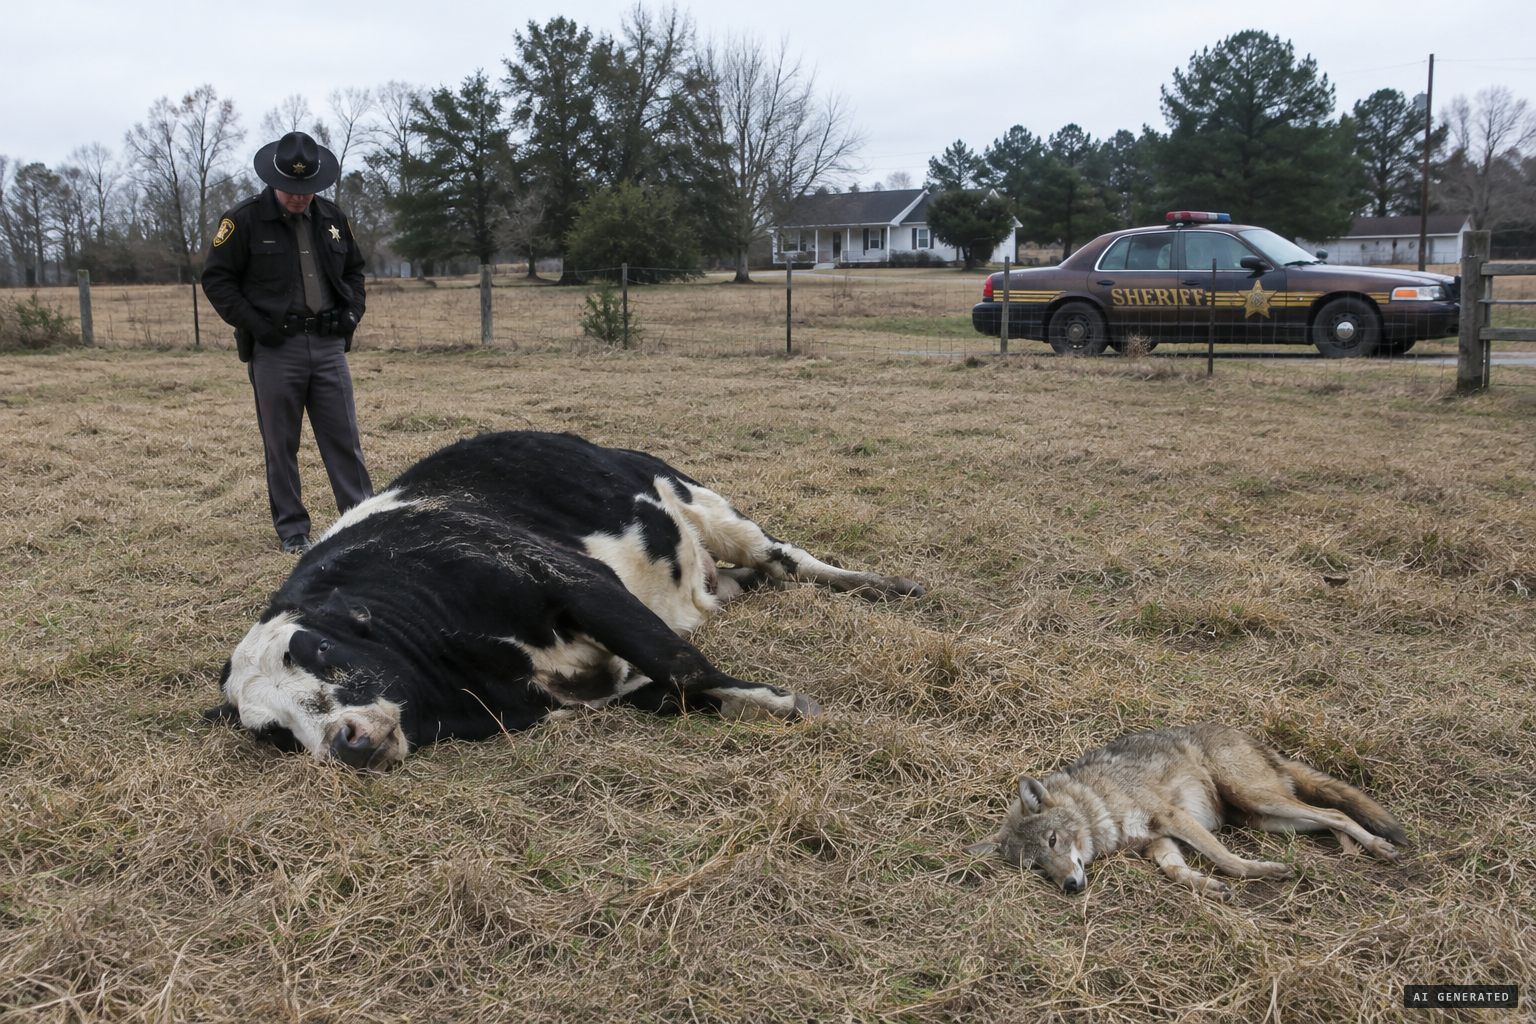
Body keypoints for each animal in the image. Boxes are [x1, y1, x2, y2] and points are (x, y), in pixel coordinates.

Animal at [206, 431, 923, 769]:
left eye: (318, 650)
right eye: (274, 734)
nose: (344, 743)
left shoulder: (575, 582)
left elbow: (682, 664)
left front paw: (780, 702)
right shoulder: (608, 684)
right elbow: (679, 688)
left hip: (704, 503)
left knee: (784, 557)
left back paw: (883, 585)